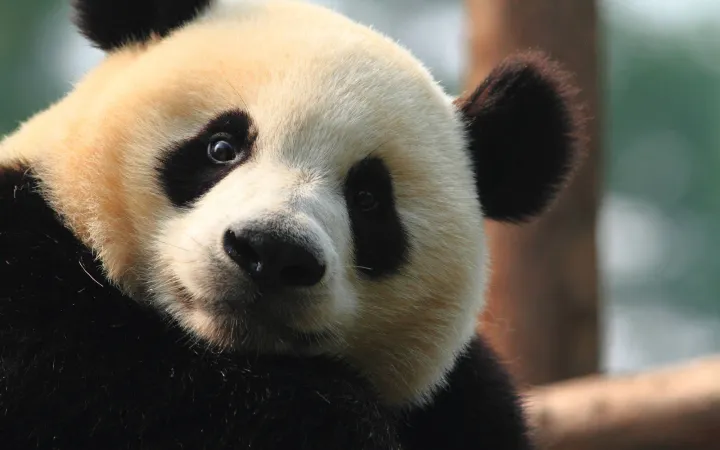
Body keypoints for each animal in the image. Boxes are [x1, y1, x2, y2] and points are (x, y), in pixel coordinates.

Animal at [0, 0, 582, 449]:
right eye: (222, 147)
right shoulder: (38, 295)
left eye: (368, 199)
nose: (272, 252)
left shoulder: (463, 406)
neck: (226, 355)